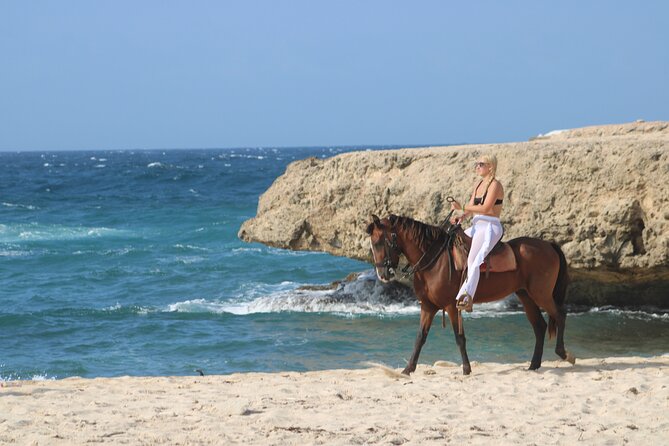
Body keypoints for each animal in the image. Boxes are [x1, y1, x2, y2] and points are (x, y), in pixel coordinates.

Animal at [366, 214, 574, 375]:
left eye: (379, 242)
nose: (382, 274)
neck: (434, 259)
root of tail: (549, 245)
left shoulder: (451, 306)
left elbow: (459, 337)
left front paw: (466, 369)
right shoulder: (428, 306)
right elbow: (420, 337)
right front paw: (408, 369)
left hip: (541, 294)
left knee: (560, 315)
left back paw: (565, 354)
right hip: (526, 295)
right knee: (539, 326)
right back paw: (533, 365)